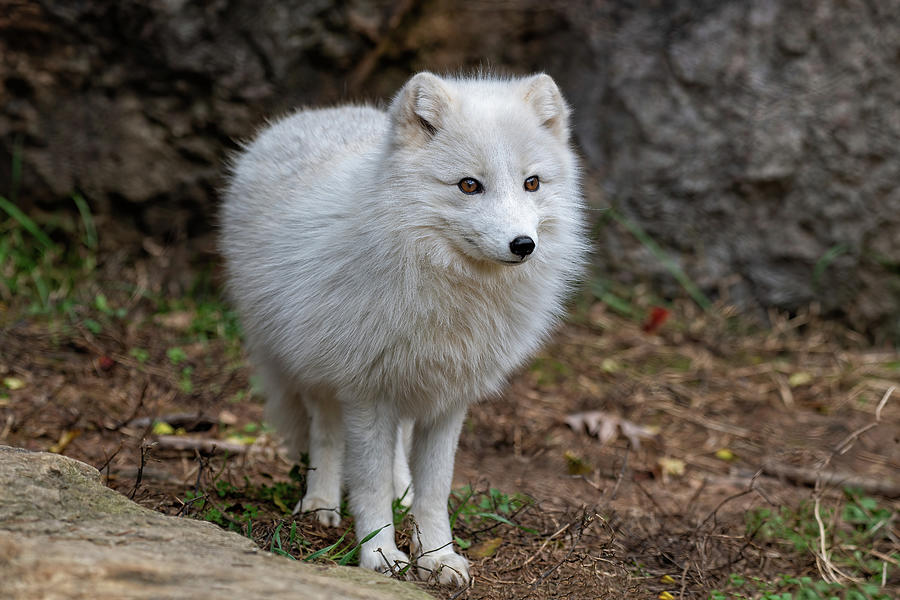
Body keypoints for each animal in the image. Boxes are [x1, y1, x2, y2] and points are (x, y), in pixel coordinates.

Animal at [221, 71, 588, 584]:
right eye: (469, 185)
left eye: (531, 183)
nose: (523, 245)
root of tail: (315, 114)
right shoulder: (365, 391)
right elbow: (368, 484)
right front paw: (379, 554)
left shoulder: (449, 398)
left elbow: (435, 489)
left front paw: (436, 555)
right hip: (316, 372)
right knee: (327, 435)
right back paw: (321, 503)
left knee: (394, 447)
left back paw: (402, 490)